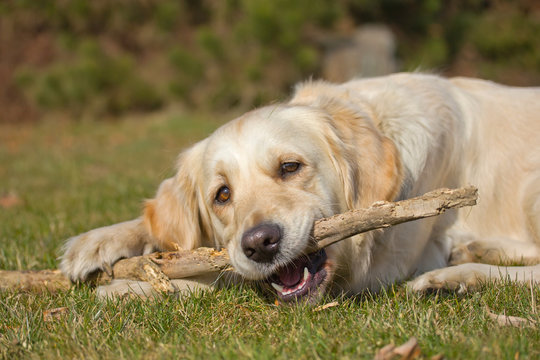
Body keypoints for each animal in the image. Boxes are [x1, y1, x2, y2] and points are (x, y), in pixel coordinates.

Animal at [59, 72, 540, 300]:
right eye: (222, 195)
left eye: (290, 167)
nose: (260, 244)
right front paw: (98, 242)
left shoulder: (384, 268)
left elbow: (225, 278)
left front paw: (132, 289)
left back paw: (458, 276)